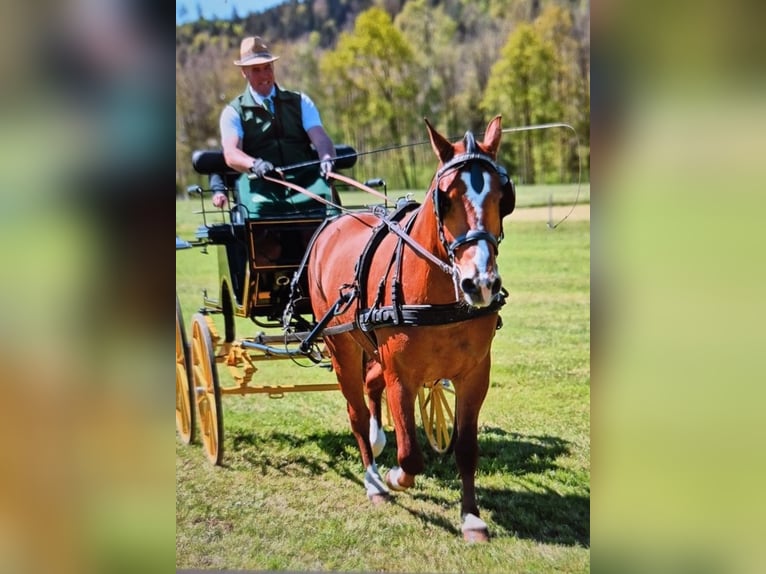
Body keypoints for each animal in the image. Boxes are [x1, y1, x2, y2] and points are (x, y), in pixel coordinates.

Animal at [306, 117, 516, 544]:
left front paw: (471, 517)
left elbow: (466, 447)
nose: (480, 284)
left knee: (371, 386)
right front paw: (393, 476)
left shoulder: (475, 374)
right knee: (356, 410)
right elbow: (410, 456)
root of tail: (335, 221)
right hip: (341, 346)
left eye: (504, 197)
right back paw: (372, 478)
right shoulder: (401, 374)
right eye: (444, 198)